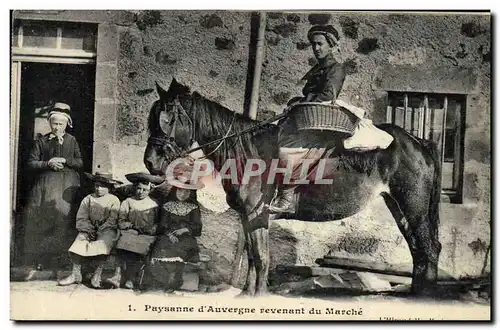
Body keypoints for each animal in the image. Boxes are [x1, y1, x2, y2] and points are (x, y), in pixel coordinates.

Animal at [144, 78, 442, 296]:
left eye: (168, 119)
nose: (150, 161)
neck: (248, 151)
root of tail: (418, 142)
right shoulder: (248, 218)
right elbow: (252, 256)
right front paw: (247, 295)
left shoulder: (258, 215)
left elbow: (262, 257)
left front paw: (259, 296)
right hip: (399, 207)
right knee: (419, 251)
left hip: (413, 206)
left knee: (428, 248)